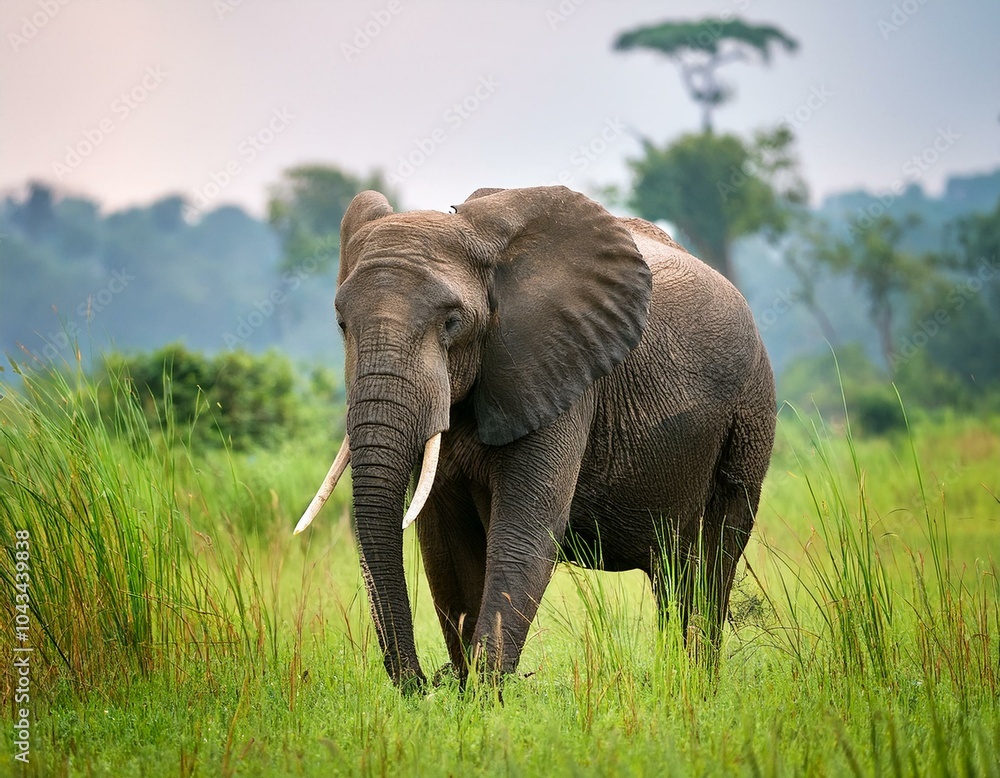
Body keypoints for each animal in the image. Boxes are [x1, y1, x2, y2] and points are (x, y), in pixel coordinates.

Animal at [294, 185, 775, 692]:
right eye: (341, 324)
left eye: (452, 323)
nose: (424, 683)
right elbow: (446, 544)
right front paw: (466, 691)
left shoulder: (561, 367)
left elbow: (525, 530)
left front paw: (484, 695)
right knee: (674, 572)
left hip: (749, 416)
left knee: (710, 563)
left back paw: (696, 686)